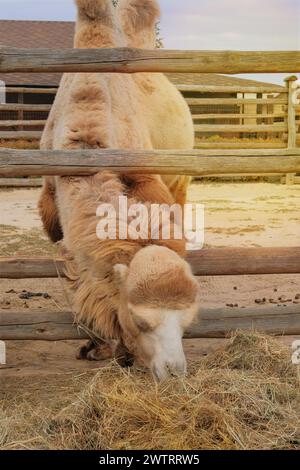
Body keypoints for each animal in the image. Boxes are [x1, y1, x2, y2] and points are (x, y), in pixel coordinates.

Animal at [38, 0, 199, 378]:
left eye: (188, 322)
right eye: (140, 320)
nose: (174, 370)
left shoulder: (146, 179)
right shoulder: (53, 206)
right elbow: (81, 274)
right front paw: (96, 345)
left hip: (182, 177)